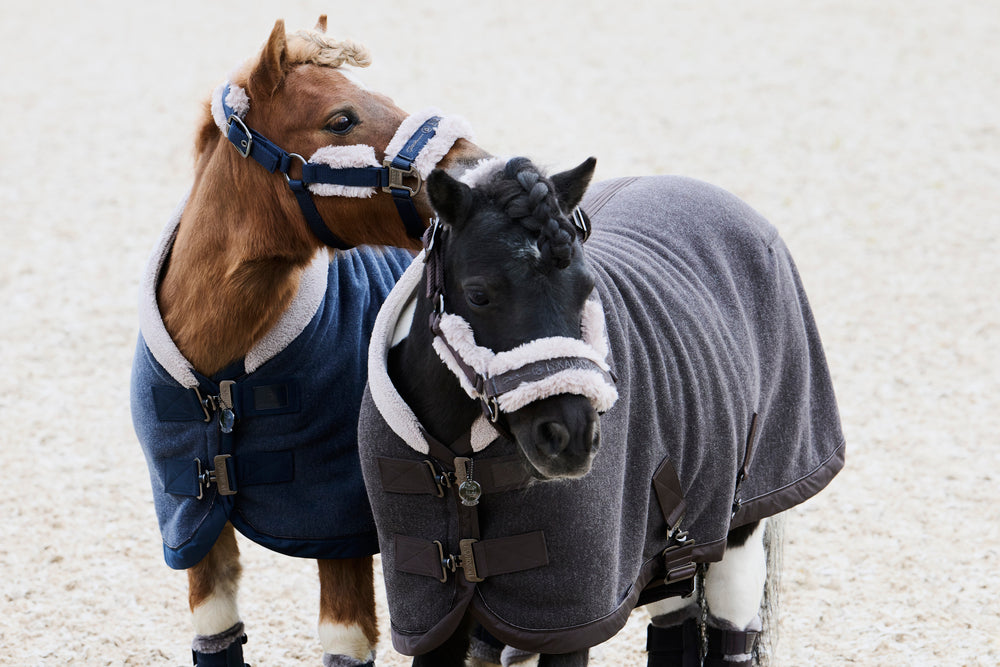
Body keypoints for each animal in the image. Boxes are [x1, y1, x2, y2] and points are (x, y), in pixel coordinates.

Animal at [140, 15, 488, 667]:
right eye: (341, 120)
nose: (480, 169)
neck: (220, 371)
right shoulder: (192, 519)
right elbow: (216, 630)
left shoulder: (338, 523)